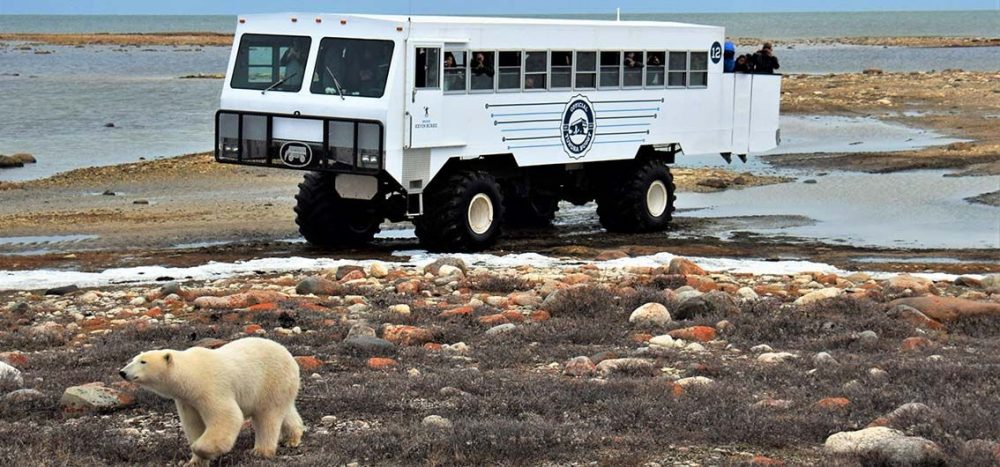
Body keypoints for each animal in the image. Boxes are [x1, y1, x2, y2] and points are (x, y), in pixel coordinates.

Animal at [119, 338, 302, 466]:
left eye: (143, 361)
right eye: (134, 359)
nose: (122, 372)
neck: (191, 374)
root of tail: (290, 357)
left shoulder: (210, 388)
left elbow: (227, 416)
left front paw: (202, 450)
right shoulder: (187, 400)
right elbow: (193, 425)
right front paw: (194, 462)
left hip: (270, 381)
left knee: (267, 417)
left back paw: (261, 451)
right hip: (282, 387)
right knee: (286, 411)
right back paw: (291, 439)